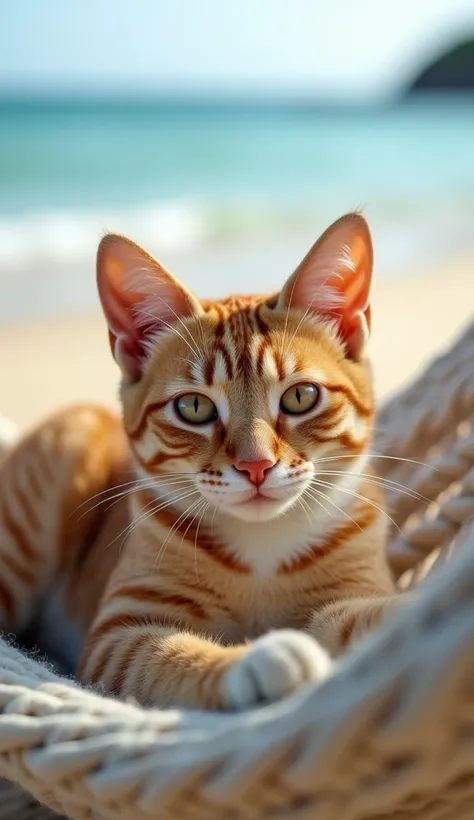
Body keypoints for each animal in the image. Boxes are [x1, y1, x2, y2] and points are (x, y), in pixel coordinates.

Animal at [0, 213, 396, 712]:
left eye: (301, 397)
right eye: (193, 407)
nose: (256, 466)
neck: (262, 551)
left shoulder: (356, 591)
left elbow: (355, 617)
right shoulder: (118, 635)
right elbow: (173, 657)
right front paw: (258, 661)